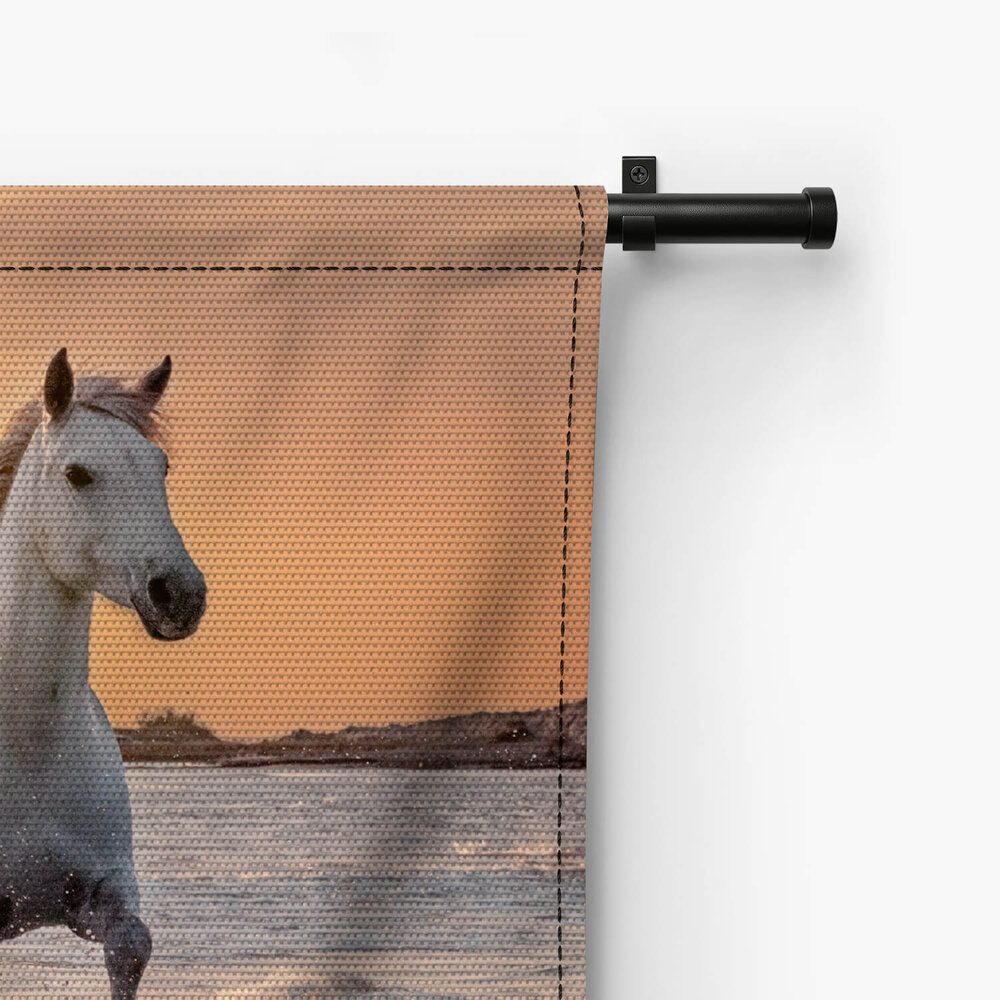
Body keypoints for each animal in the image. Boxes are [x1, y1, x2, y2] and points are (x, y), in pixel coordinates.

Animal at [0, 349, 206, 999]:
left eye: (161, 467)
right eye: (78, 473)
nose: (179, 594)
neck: (28, 749)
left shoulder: (99, 894)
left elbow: (132, 946)